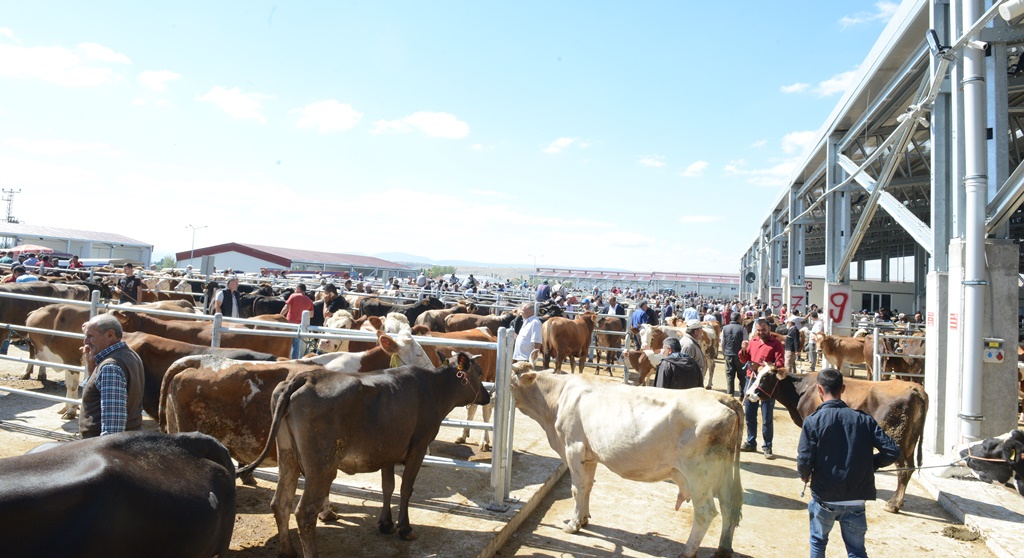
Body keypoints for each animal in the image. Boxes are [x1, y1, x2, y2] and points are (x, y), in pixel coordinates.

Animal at [240, 352, 495, 556]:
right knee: (305, 512)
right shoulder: (419, 448)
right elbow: (406, 489)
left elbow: (388, 487)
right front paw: (405, 529)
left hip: (288, 456)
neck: (435, 388)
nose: (487, 396)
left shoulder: (388, 451)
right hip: (321, 467)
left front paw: (385, 524)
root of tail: (307, 377)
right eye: (479, 372)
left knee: (280, 502)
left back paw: (288, 550)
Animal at [512, 370, 745, 556]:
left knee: (706, 512)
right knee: (728, 507)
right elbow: (587, 487)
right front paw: (584, 518)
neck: (556, 398)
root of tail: (721, 397)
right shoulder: (589, 455)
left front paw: (573, 524)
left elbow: (577, 489)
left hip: (700, 475)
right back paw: (723, 549)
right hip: (725, 472)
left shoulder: (573, 448)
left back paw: (687, 551)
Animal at [745, 364, 929, 513]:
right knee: (910, 468)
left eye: (765, 378)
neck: (803, 389)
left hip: (896, 439)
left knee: (903, 470)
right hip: (909, 443)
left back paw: (893, 504)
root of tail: (914, 387)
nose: (748, 394)